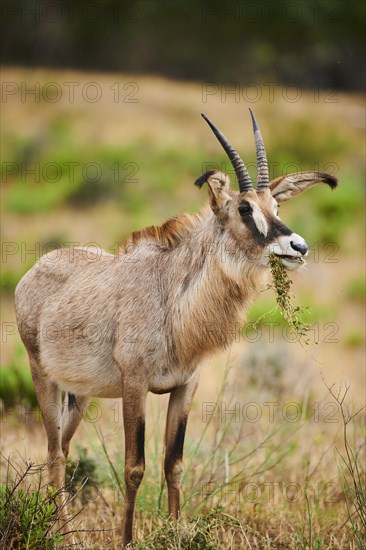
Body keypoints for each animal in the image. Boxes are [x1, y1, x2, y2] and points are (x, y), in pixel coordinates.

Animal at [15, 111, 338, 548]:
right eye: (243, 208)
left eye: (275, 205)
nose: (297, 247)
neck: (172, 294)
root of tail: (33, 272)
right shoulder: (135, 385)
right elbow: (135, 466)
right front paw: (127, 539)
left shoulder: (185, 385)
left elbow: (175, 463)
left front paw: (174, 530)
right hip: (42, 377)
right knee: (54, 451)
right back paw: (63, 536)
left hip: (79, 394)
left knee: (62, 447)